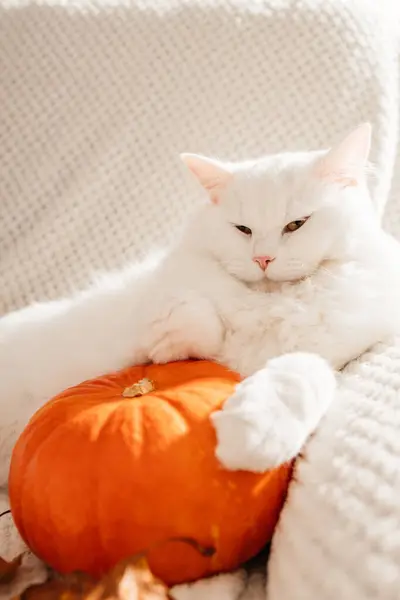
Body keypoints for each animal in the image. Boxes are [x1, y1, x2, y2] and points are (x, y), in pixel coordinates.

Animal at [0, 123, 398, 488]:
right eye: (242, 230)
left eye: (296, 225)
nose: (263, 259)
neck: (268, 304)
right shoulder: (146, 307)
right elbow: (189, 316)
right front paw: (174, 341)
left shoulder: (337, 358)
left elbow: (303, 375)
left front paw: (253, 436)